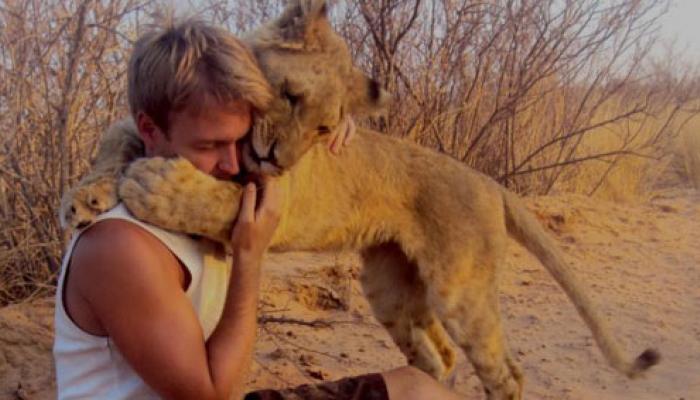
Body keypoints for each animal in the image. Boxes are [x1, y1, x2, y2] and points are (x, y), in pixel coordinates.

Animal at [60, 0, 656, 400]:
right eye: (289, 96)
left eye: (325, 129)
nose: (277, 158)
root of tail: (492, 183)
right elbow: (117, 138)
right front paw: (85, 197)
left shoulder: (272, 201)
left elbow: (211, 200)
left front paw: (151, 184)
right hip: (390, 286)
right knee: (437, 353)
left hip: (459, 288)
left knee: (505, 371)